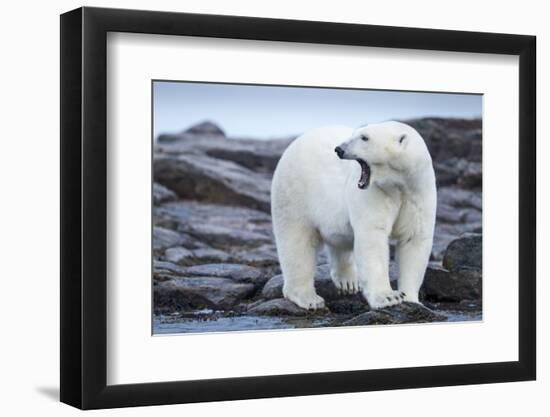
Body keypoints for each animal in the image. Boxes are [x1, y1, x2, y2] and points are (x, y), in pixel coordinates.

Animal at [270, 120, 436, 308]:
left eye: (364, 137)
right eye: (356, 134)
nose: (339, 149)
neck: (399, 184)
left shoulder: (418, 193)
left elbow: (414, 239)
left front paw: (411, 299)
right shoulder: (376, 192)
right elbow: (373, 237)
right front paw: (388, 297)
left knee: (339, 241)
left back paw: (348, 281)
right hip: (294, 192)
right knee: (296, 242)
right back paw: (308, 297)